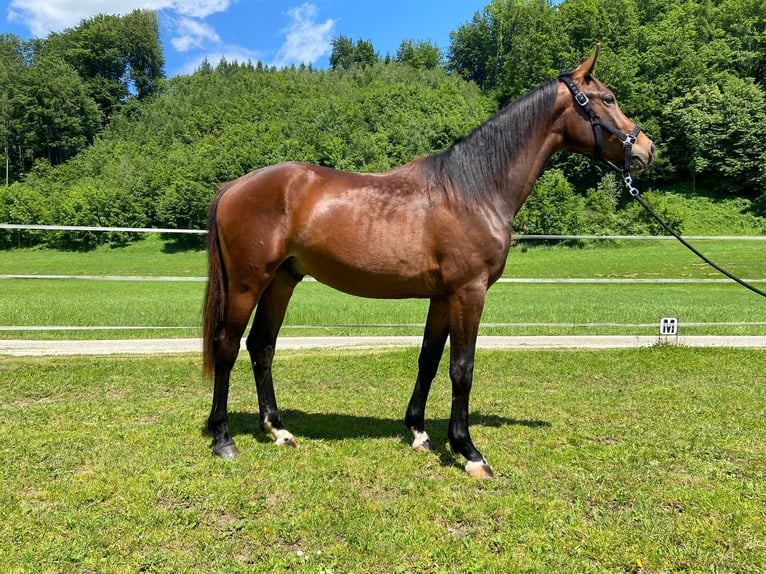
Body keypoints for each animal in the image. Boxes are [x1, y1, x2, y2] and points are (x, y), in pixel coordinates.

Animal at [202, 44, 656, 476]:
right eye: (608, 98)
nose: (647, 149)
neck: (473, 189)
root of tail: (235, 186)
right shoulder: (469, 292)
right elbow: (462, 368)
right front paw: (469, 452)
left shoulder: (442, 297)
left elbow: (429, 359)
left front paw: (419, 432)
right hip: (247, 283)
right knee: (227, 345)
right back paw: (223, 438)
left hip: (282, 280)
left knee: (261, 346)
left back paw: (277, 429)